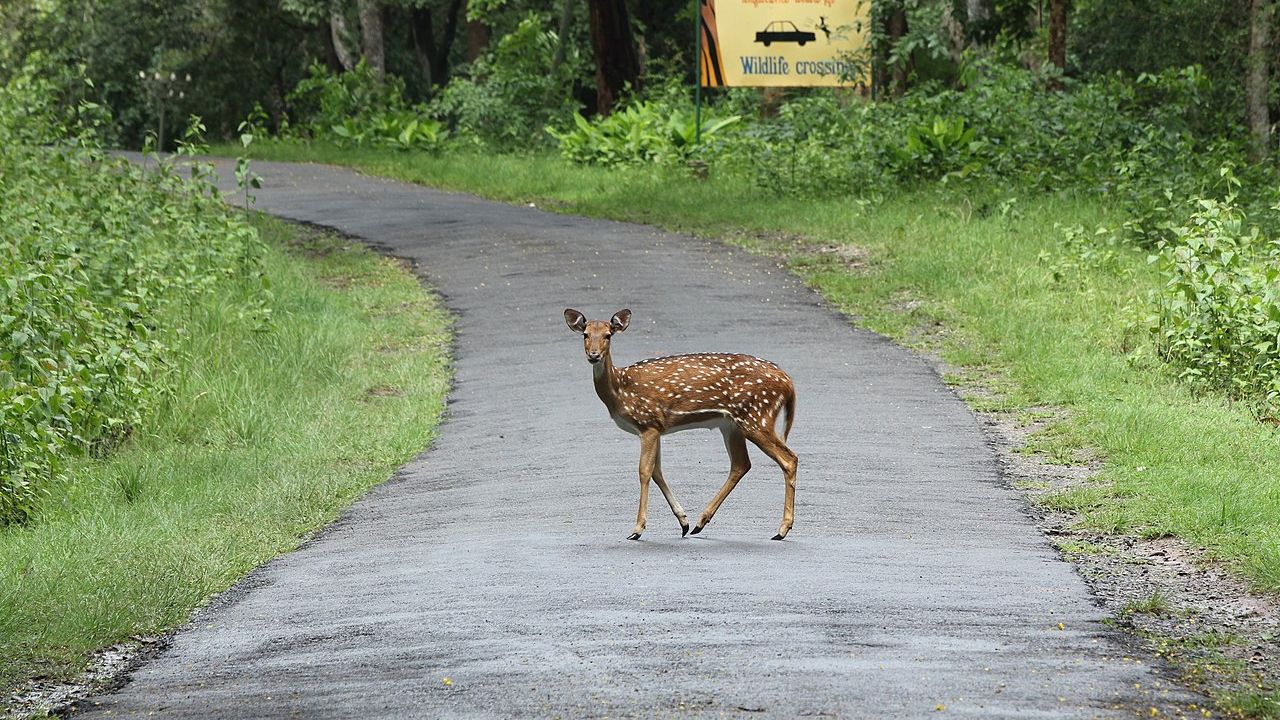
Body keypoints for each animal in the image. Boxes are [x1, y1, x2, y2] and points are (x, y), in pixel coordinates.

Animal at [563, 307, 798, 538]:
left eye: (608, 335)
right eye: (585, 335)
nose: (594, 355)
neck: (620, 390)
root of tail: (788, 382)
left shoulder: (647, 423)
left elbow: (644, 471)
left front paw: (637, 529)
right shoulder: (657, 427)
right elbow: (657, 472)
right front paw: (683, 521)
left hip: (756, 415)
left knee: (789, 459)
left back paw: (782, 529)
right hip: (731, 424)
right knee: (741, 464)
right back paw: (700, 523)